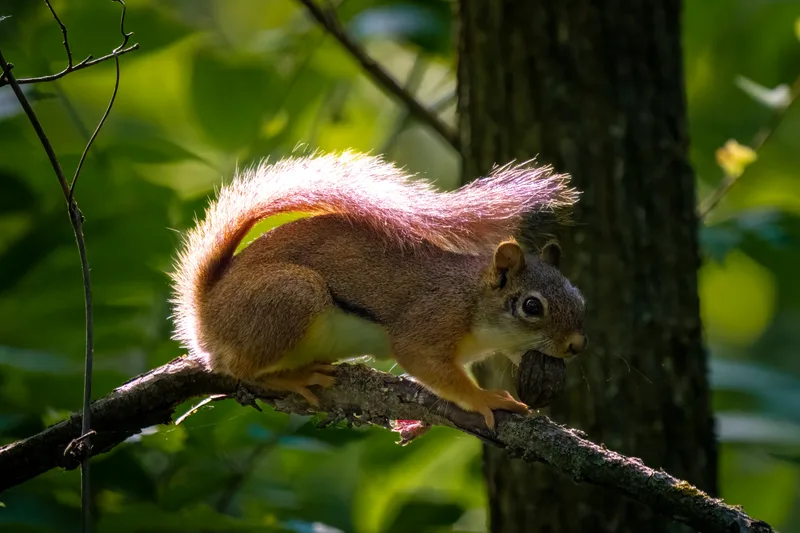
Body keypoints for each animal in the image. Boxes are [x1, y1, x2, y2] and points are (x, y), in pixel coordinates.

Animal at [170, 151, 587, 429]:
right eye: (531, 306)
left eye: (579, 298)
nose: (576, 346)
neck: (472, 299)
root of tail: (204, 311)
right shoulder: (431, 318)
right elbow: (421, 359)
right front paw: (483, 398)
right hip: (292, 295)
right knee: (242, 370)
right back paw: (293, 377)